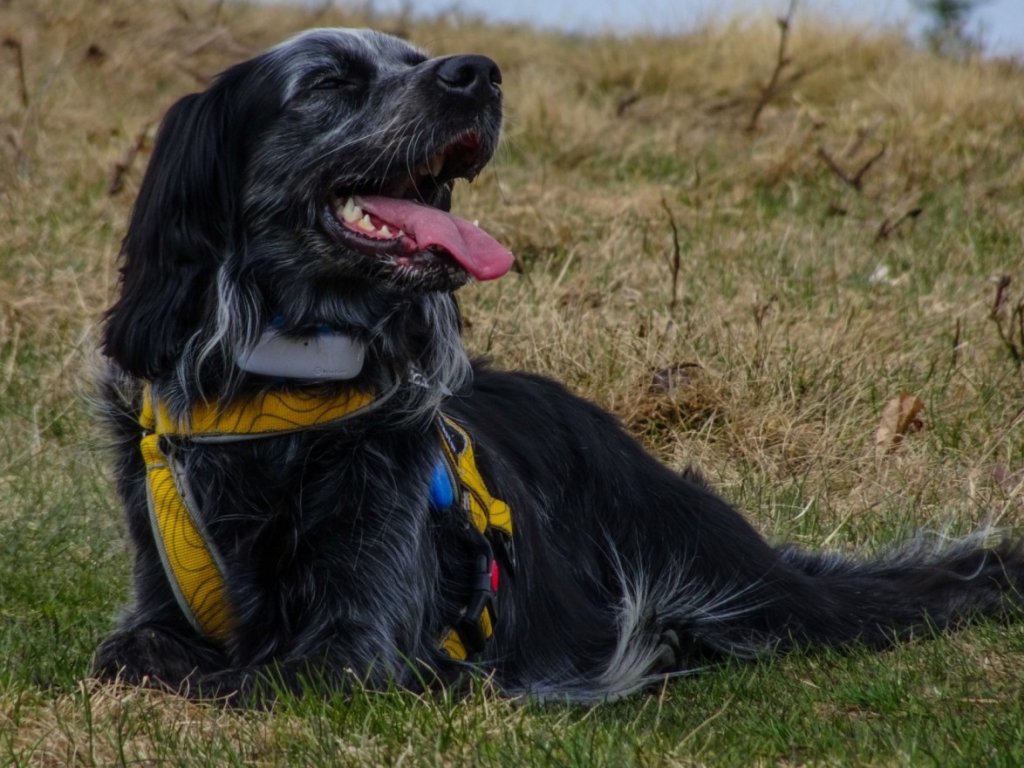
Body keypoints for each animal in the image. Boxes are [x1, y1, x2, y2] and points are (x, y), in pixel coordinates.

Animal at [92, 28, 1019, 704]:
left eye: (415, 58)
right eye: (328, 82)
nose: (476, 74)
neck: (286, 388)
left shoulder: (357, 646)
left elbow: (253, 676)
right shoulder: (158, 600)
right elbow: (132, 653)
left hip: (735, 578)